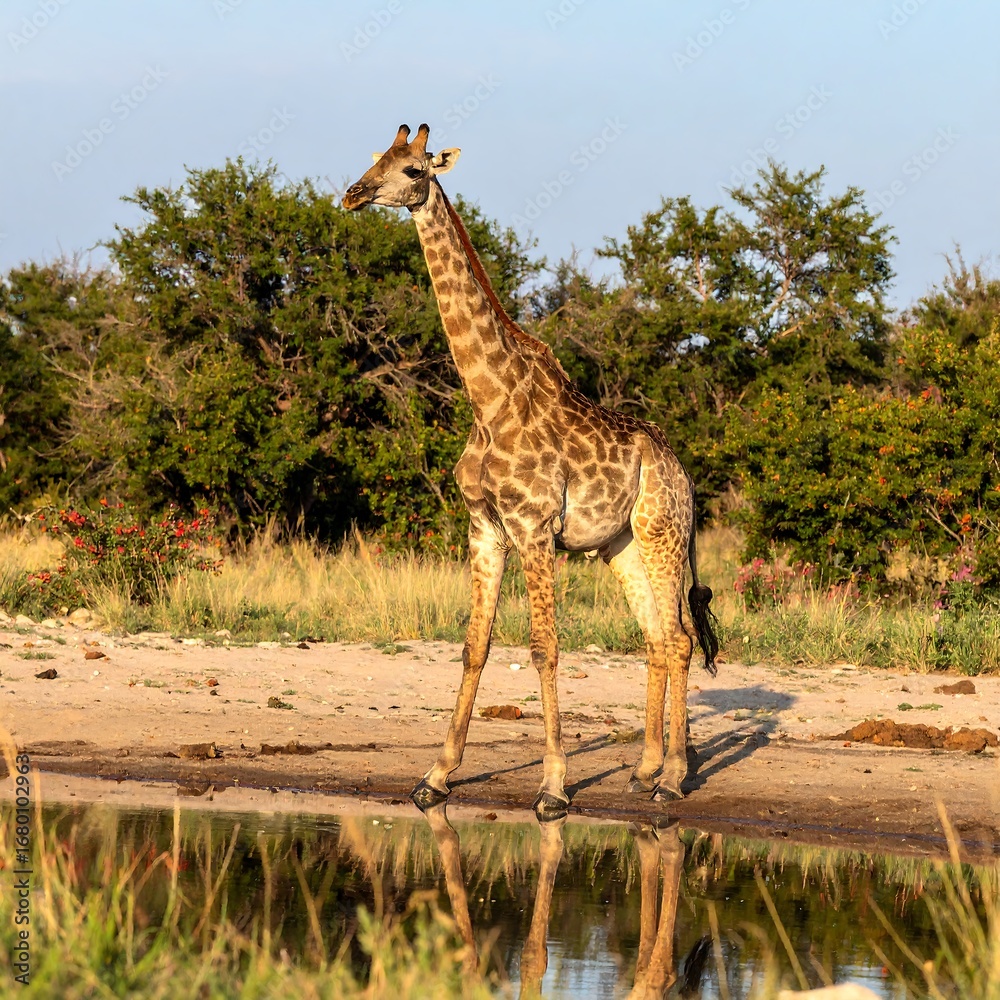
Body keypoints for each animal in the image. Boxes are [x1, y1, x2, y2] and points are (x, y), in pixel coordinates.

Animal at [343, 123, 719, 818]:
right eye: (374, 159)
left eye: (412, 170)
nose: (354, 193)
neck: (487, 399)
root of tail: (681, 472)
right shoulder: (485, 529)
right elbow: (475, 646)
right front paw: (435, 777)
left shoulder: (534, 528)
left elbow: (544, 647)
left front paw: (553, 786)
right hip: (622, 545)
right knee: (657, 639)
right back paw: (645, 769)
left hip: (664, 534)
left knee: (680, 639)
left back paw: (675, 778)